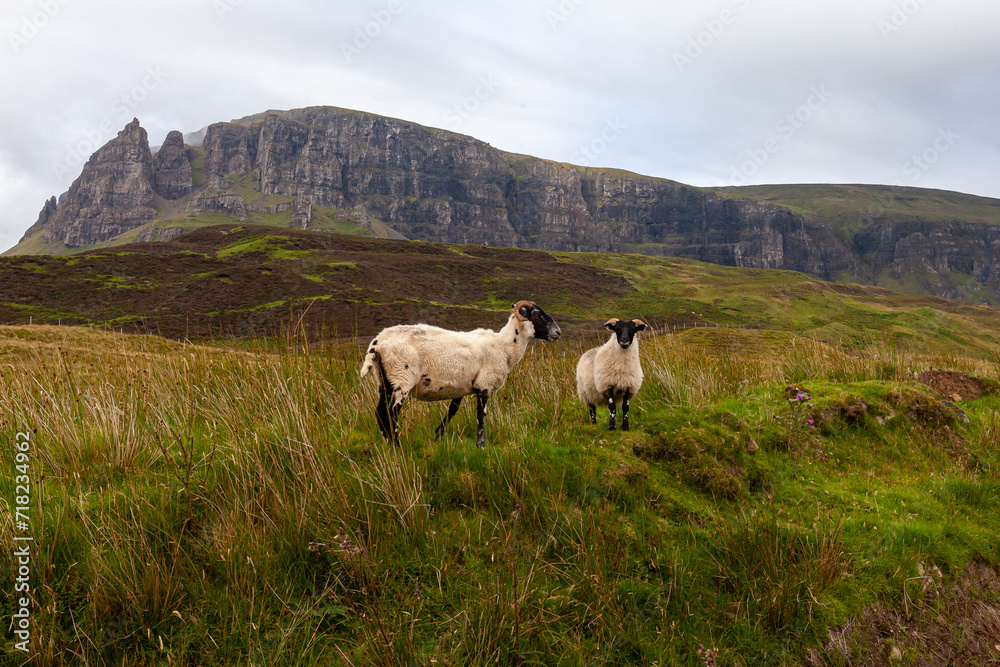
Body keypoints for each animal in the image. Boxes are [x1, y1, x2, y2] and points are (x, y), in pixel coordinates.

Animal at [359, 301, 561, 447]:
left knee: (380, 412)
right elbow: (481, 416)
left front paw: (438, 435)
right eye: (536, 315)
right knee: (393, 412)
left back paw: (387, 442)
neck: (504, 347)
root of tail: (378, 342)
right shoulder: (484, 385)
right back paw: (397, 445)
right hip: (402, 377)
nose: (558, 332)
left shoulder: (461, 386)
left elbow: (453, 410)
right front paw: (482, 445)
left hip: (384, 380)